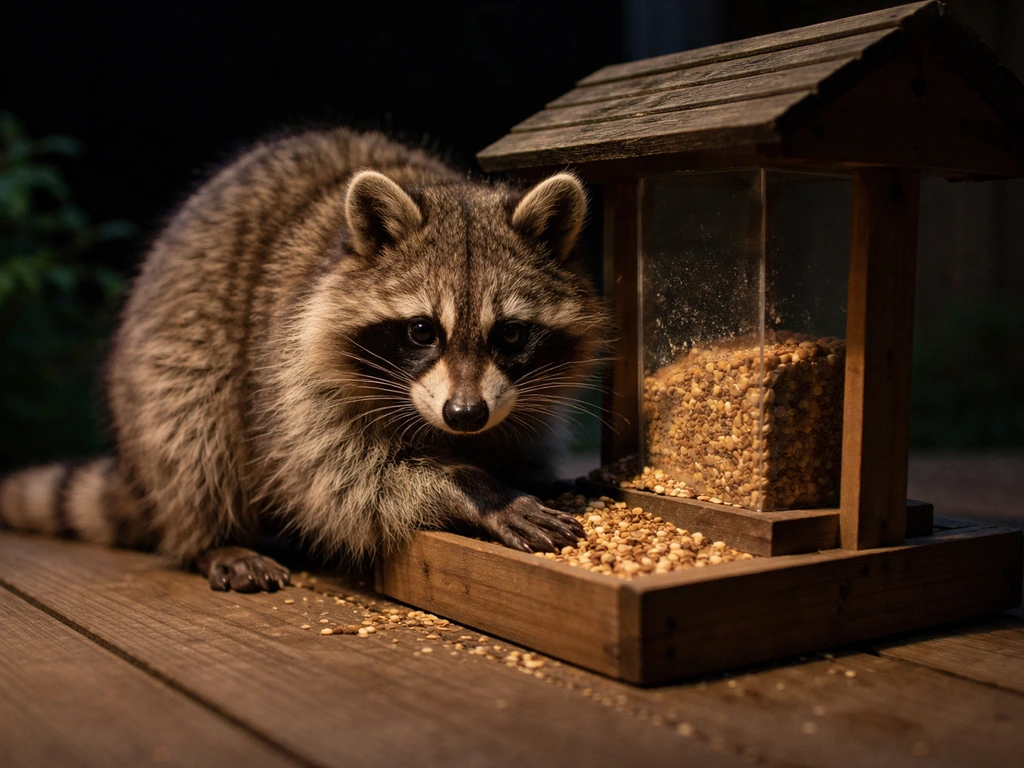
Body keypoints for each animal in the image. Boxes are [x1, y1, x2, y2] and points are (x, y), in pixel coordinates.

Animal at [0, 127, 607, 592]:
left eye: (510, 335)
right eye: (421, 332)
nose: (465, 415)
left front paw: (527, 476)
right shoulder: (291, 377)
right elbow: (338, 482)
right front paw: (477, 488)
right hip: (171, 348)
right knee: (193, 429)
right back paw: (211, 538)